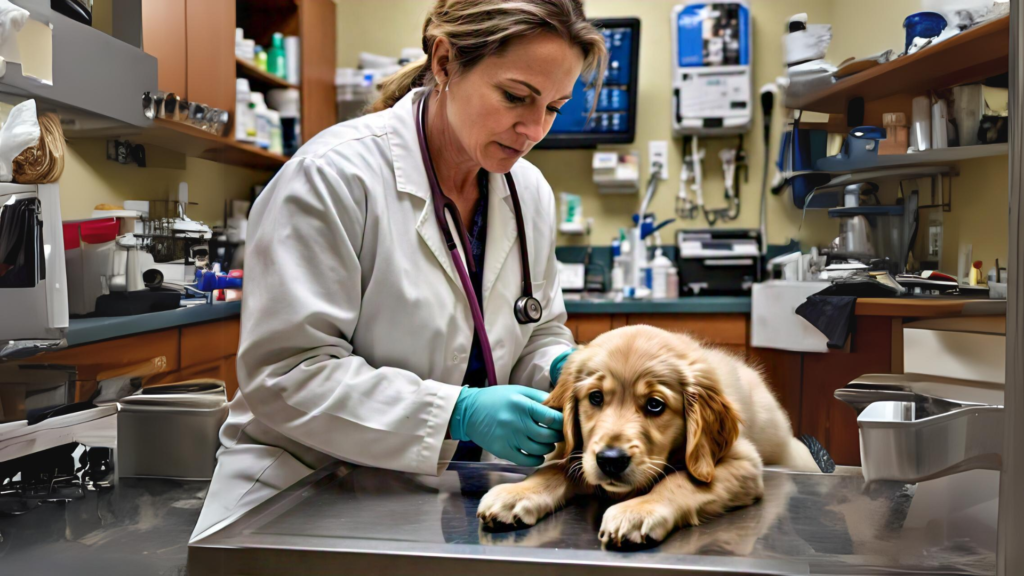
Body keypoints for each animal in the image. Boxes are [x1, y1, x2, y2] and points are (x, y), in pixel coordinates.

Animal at [475, 325, 819, 545]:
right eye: (596, 398)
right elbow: (556, 468)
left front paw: (638, 511)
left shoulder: (744, 464)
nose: (611, 460)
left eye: (655, 405)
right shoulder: (582, 455)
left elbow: (680, 480)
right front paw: (516, 494)